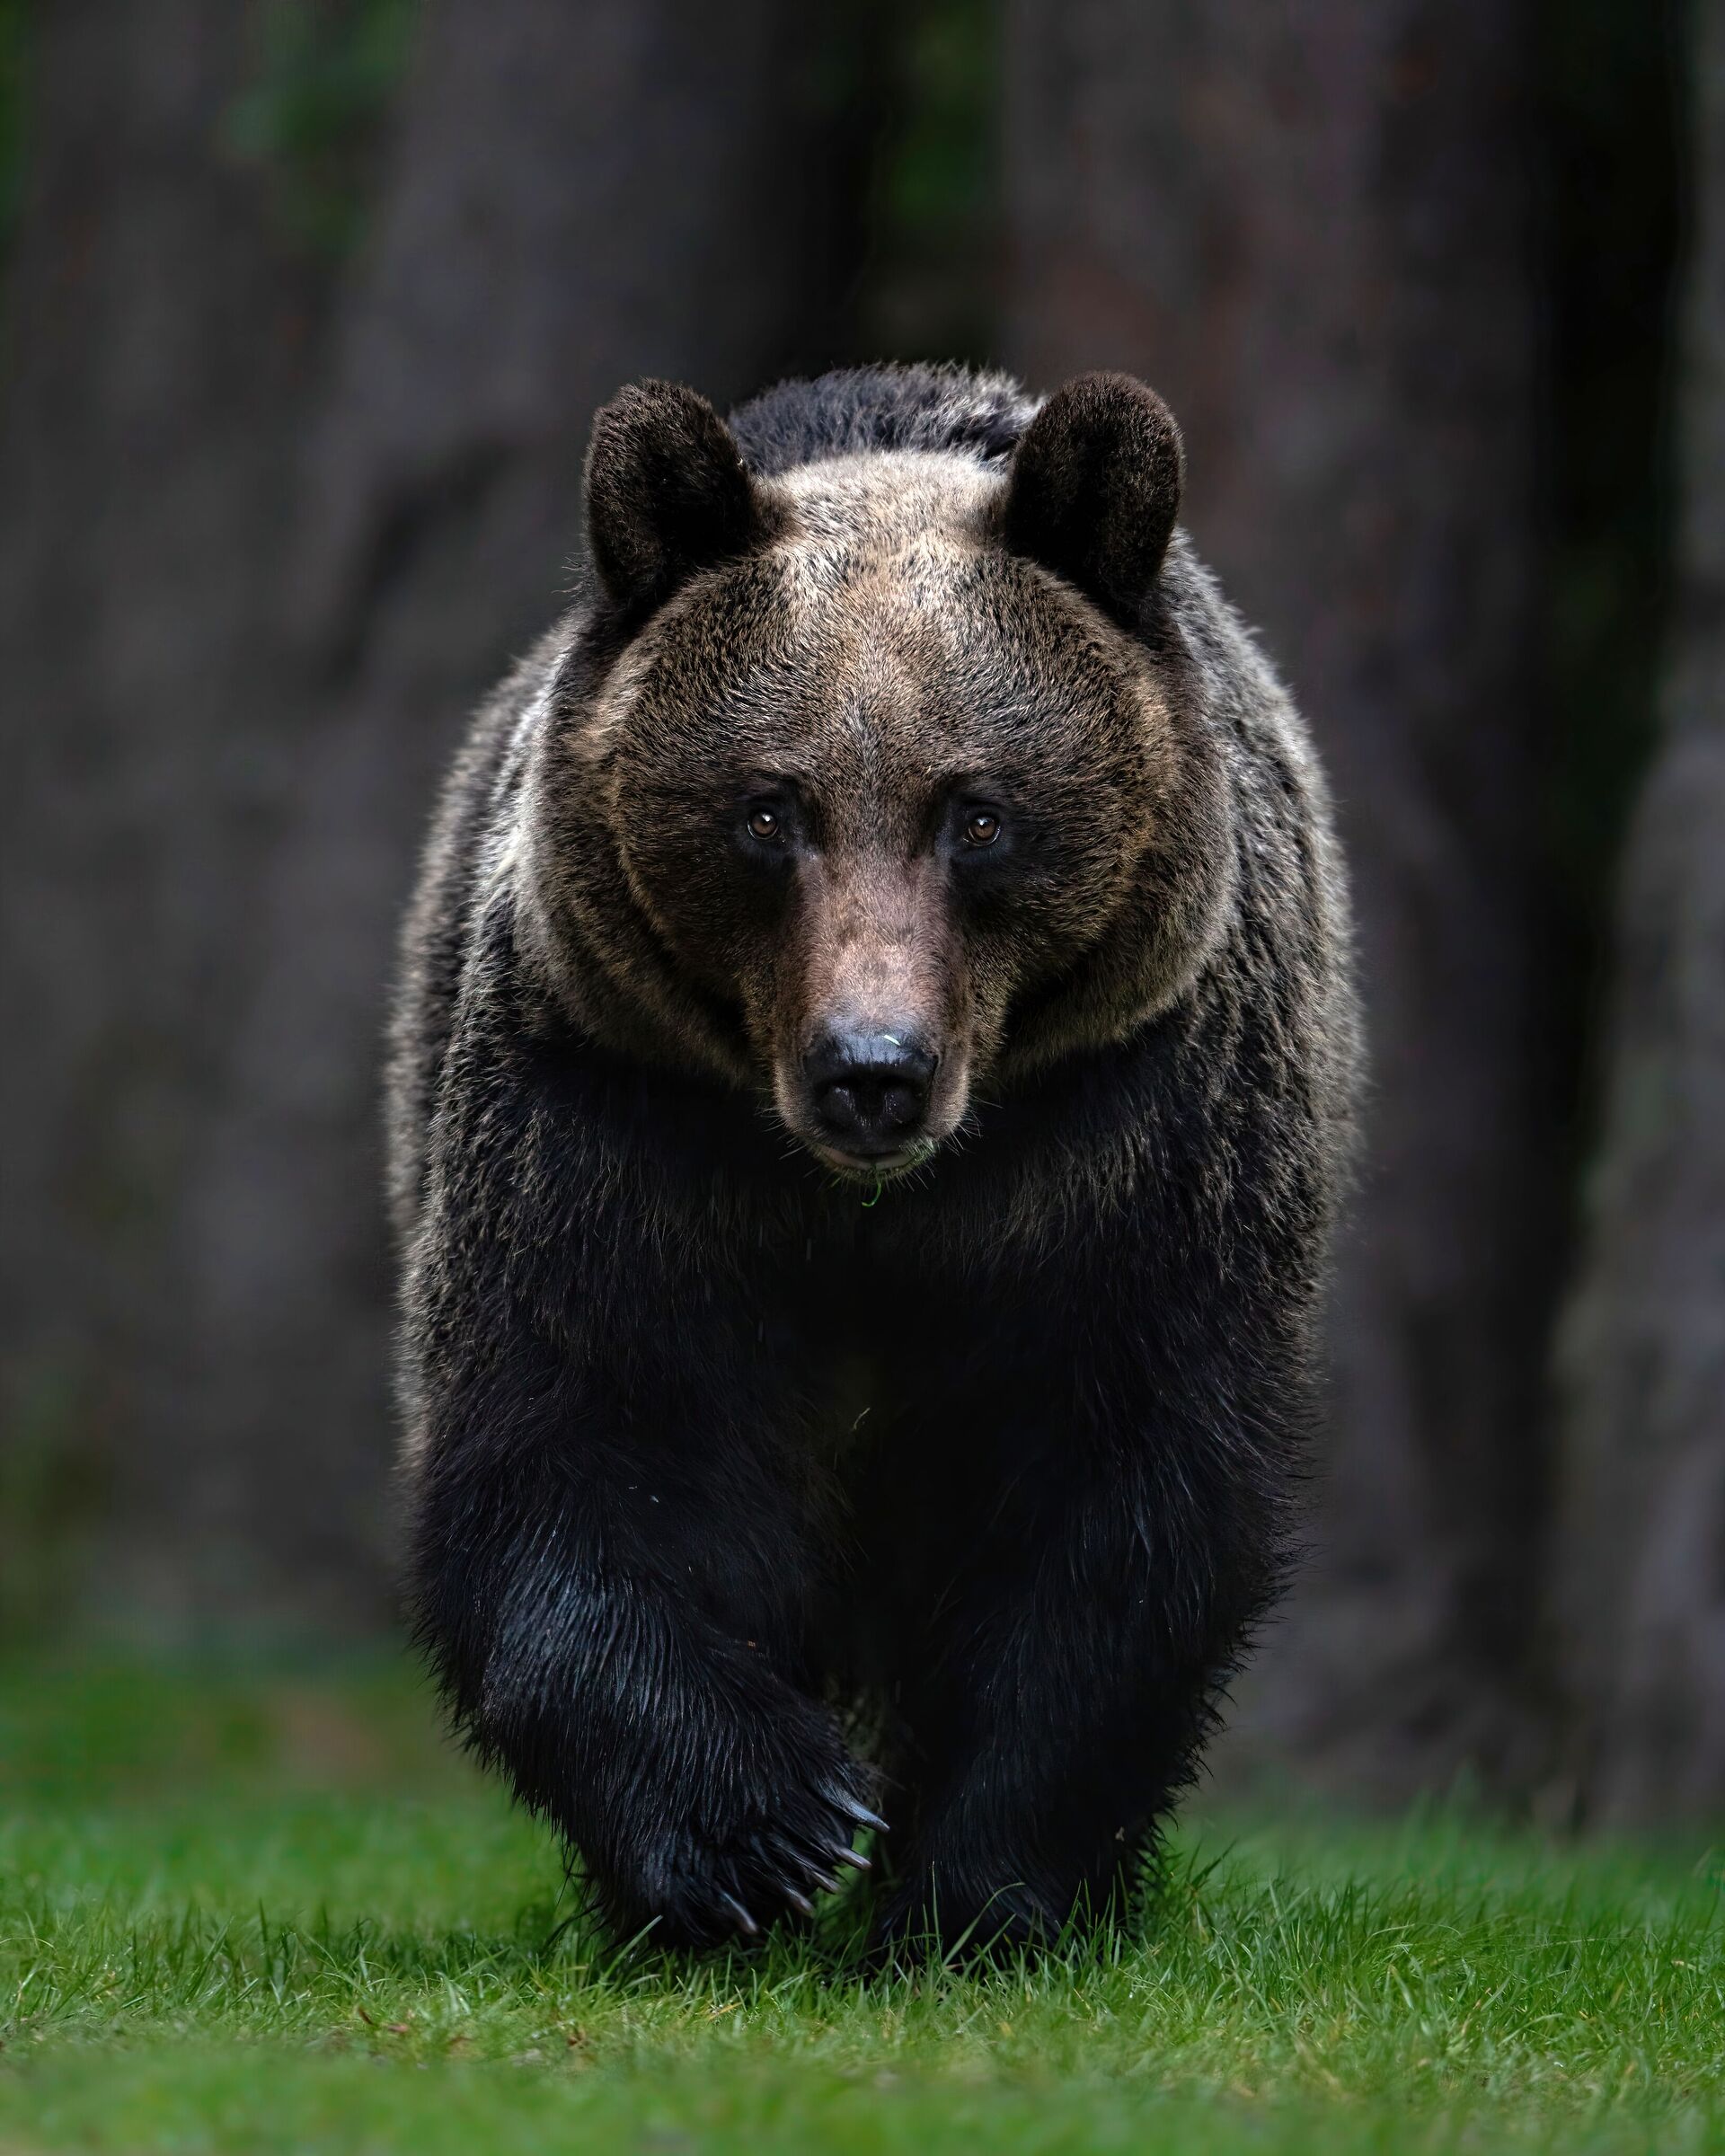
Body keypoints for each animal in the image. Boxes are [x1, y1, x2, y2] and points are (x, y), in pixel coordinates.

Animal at [387, 362, 1359, 1957]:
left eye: (980, 813)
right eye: (768, 809)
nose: (872, 1072)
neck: (871, 1214)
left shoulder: (1128, 1149)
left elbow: (1117, 1496)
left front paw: (974, 1889)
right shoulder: (619, 1126)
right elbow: (580, 1440)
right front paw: (760, 1831)